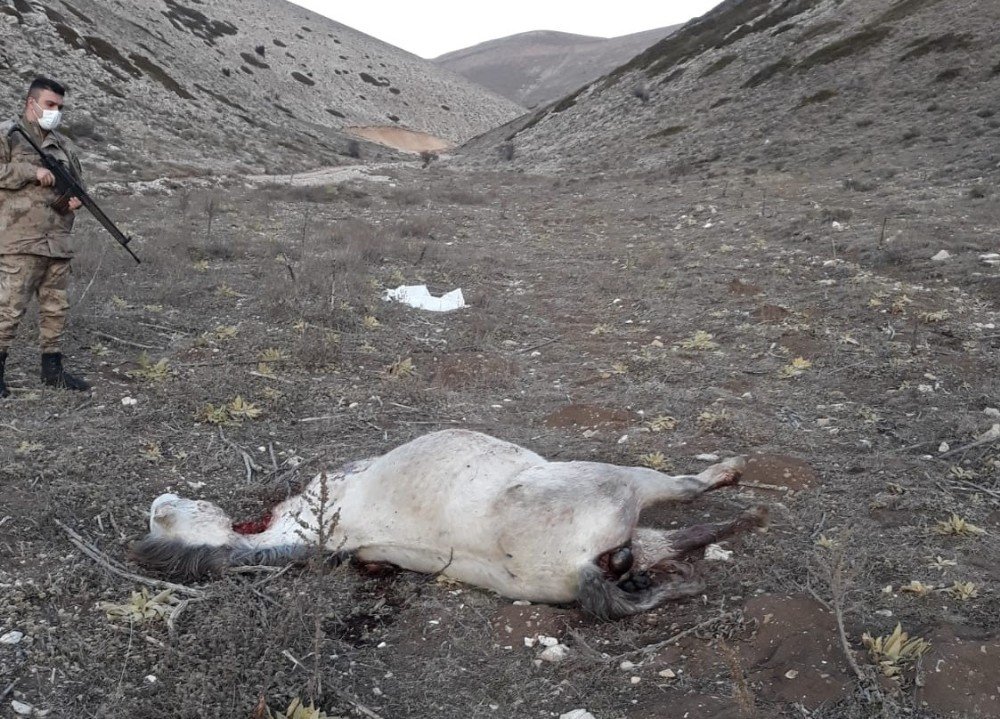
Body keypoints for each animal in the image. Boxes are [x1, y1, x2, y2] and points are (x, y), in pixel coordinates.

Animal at [135, 428, 764, 620]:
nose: (161, 497)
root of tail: (576, 566)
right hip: (624, 485)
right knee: (684, 500)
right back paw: (738, 494)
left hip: (623, 539)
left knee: (666, 554)